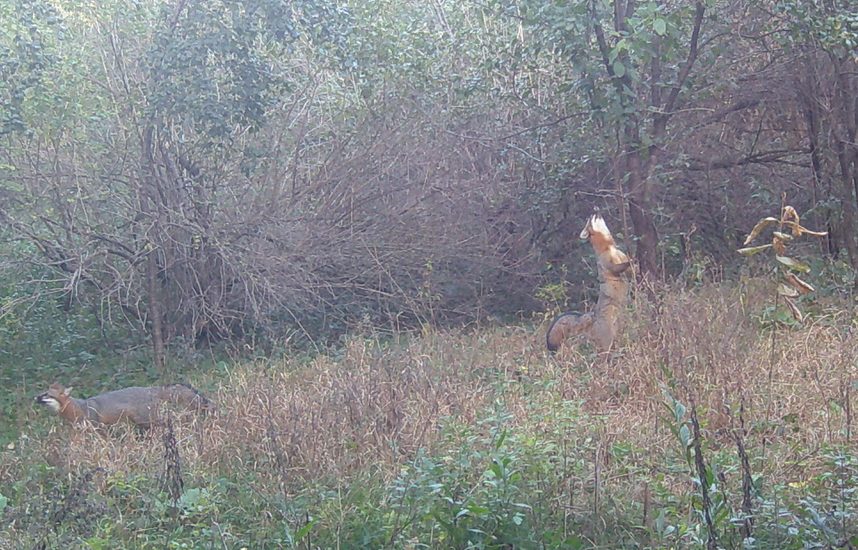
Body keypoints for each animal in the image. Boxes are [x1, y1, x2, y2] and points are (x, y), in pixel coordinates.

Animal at [35, 382, 214, 429]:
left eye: (47, 395)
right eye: (43, 393)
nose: (35, 397)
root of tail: (150, 388)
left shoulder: (98, 428)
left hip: (148, 421)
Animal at [546, 212, 632, 353]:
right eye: (590, 219)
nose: (595, 210)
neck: (610, 248)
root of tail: (594, 319)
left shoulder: (622, 259)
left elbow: (629, 268)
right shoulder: (609, 266)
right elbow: (619, 267)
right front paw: (631, 261)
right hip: (607, 342)